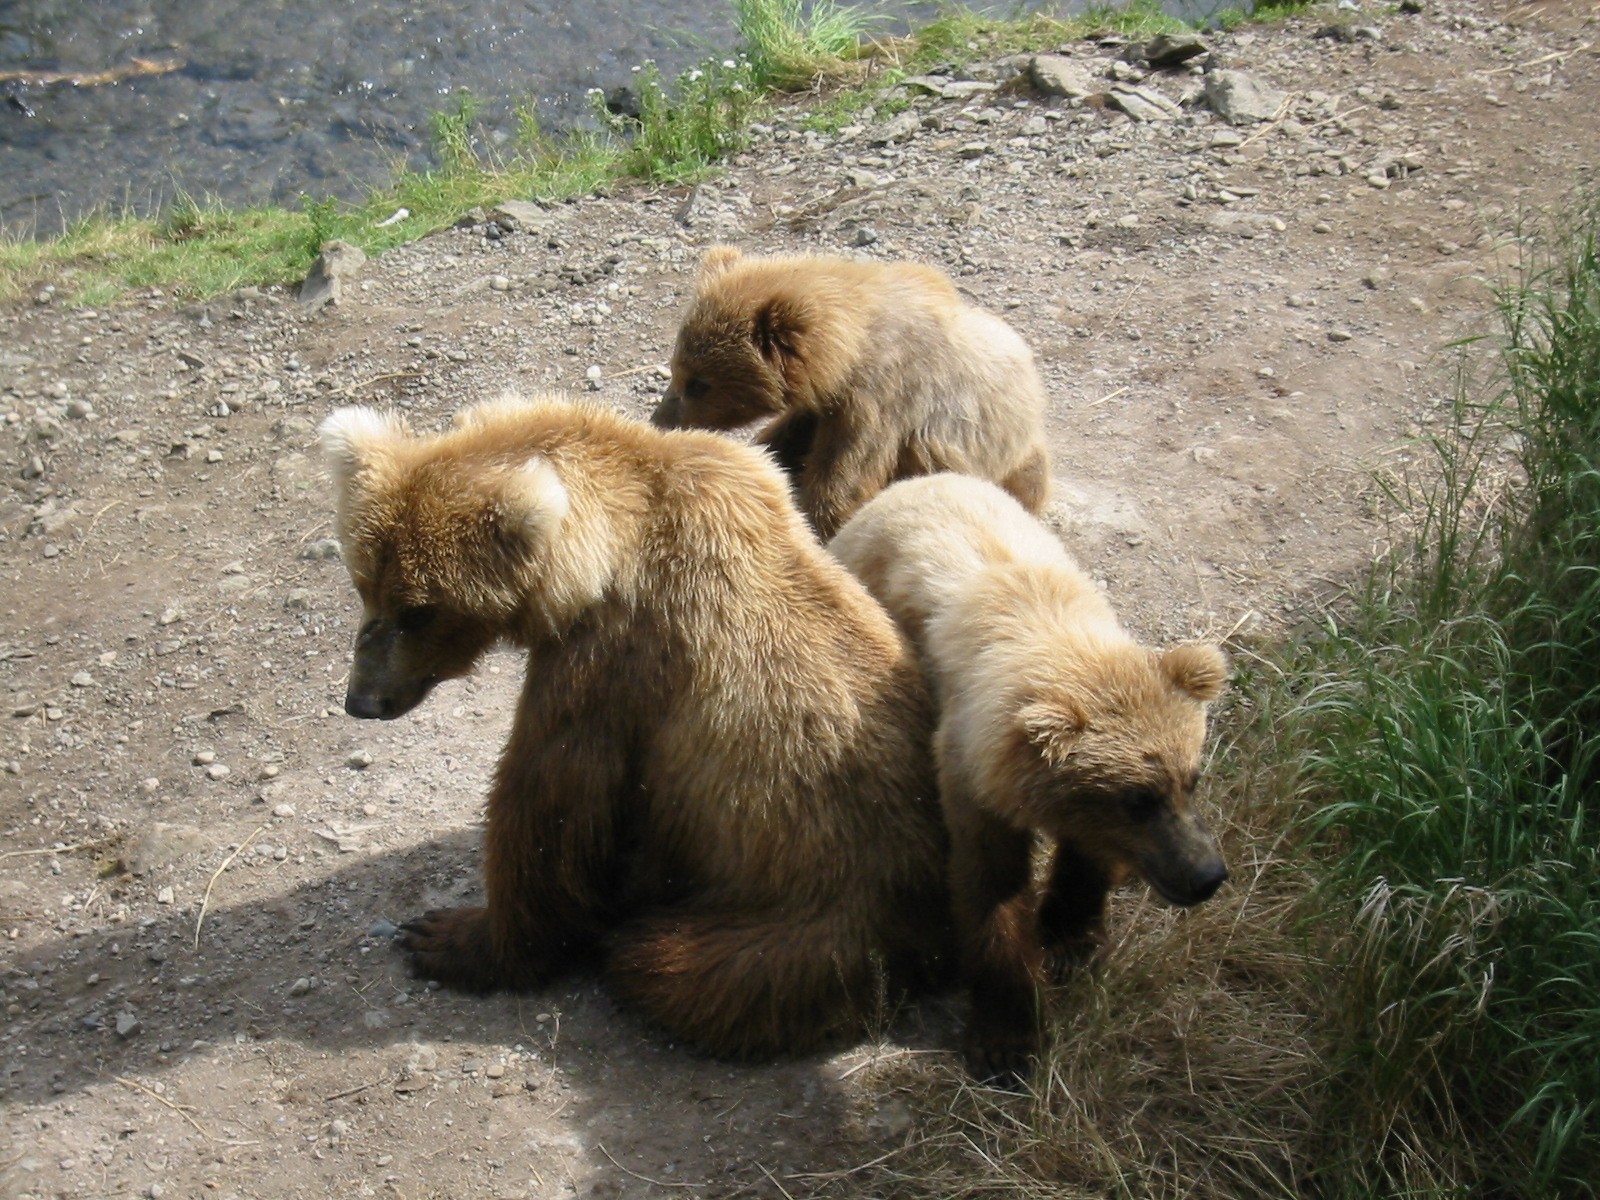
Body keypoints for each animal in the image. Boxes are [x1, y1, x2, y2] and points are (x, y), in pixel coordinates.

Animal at [319, 393, 950, 1059]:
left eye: (421, 610)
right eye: (364, 583)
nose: (363, 699)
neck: (604, 546)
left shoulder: (612, 660)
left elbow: (549, 810)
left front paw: (449, 936)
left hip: (801, 930)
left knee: (663, 962)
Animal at [649, 246, 1052, 539]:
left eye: (699, 383)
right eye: (676, 368)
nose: (660, 419)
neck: (851, 350)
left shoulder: (884, 396)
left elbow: (846, 479)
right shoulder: (822, 406)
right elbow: (788, 435)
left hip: (1013, 456)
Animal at [828, 473, 1229, 1082]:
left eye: (1193, 777)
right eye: (1139, 798)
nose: (1207, 874)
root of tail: (911, 481)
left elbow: (1085, 858)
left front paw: (1070, 940)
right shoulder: (969, 768)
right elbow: (990, 884)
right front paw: (1006, 1039)